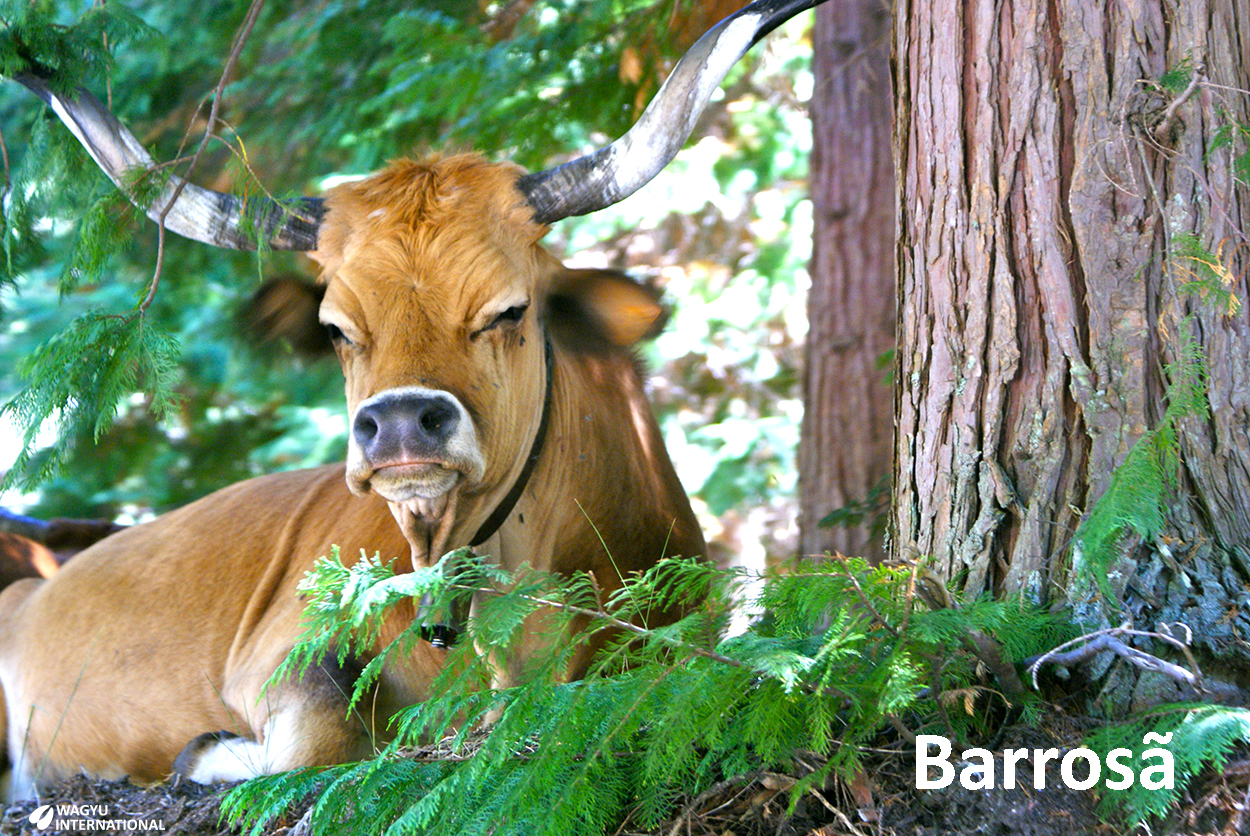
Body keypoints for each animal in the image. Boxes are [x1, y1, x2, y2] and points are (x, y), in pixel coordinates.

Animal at [0, 0, 825, 799]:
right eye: (336, 329)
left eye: (510, 309)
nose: (399, 424)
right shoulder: (280, 653)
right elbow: (322, 737)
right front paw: (209, 752)